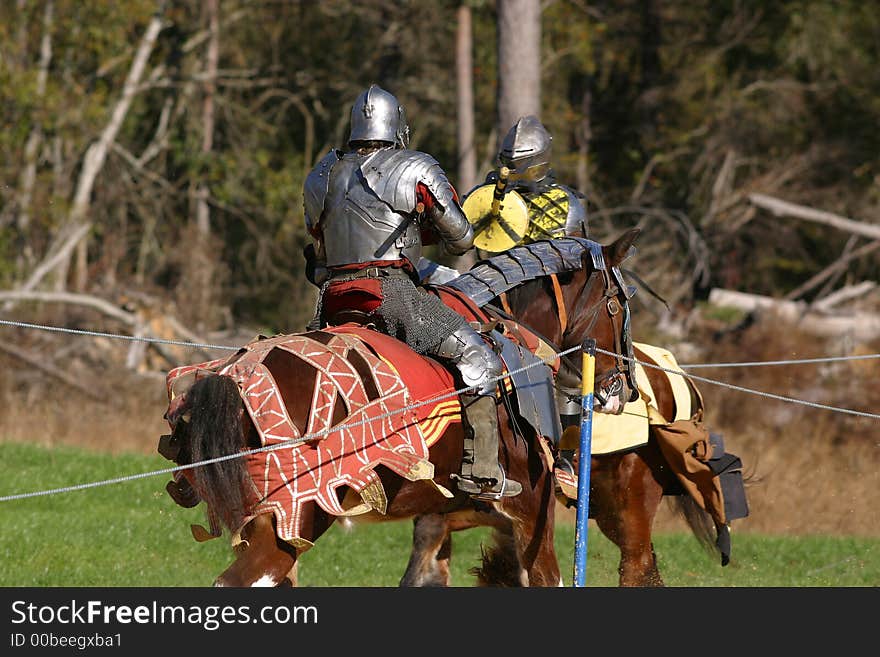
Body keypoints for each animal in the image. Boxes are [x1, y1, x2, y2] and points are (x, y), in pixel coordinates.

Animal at [158, 229, 640, 584]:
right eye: (617, 305)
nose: (624, 388)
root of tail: (234, 379)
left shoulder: (442, 516)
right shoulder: (530, 511)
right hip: (295, 511)